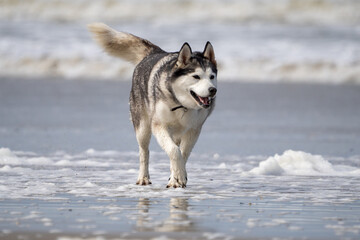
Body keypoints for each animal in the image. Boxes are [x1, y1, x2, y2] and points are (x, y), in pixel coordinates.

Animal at [88, 23, 217, 188]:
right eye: (196, 76)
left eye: (212, 77)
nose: (212, 90)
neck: (181, 104)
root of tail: (155, 52)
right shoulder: (159, 126)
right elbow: (174, 151)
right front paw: (179, 176)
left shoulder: (194, 130)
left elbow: (182, 153)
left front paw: (177, 177)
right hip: (143, 127)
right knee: (144, 152)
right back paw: (143, 177)